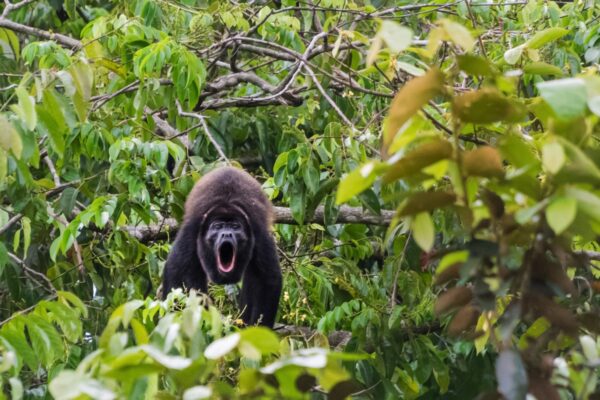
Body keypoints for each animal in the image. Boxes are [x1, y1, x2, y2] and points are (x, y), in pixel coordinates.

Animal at [159, 166, 282, 324]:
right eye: (218, 227)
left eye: (235, 227)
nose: (227, 234)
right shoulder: (193, 229)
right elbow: (177, 271)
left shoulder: (258, 230)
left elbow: (266, 279)